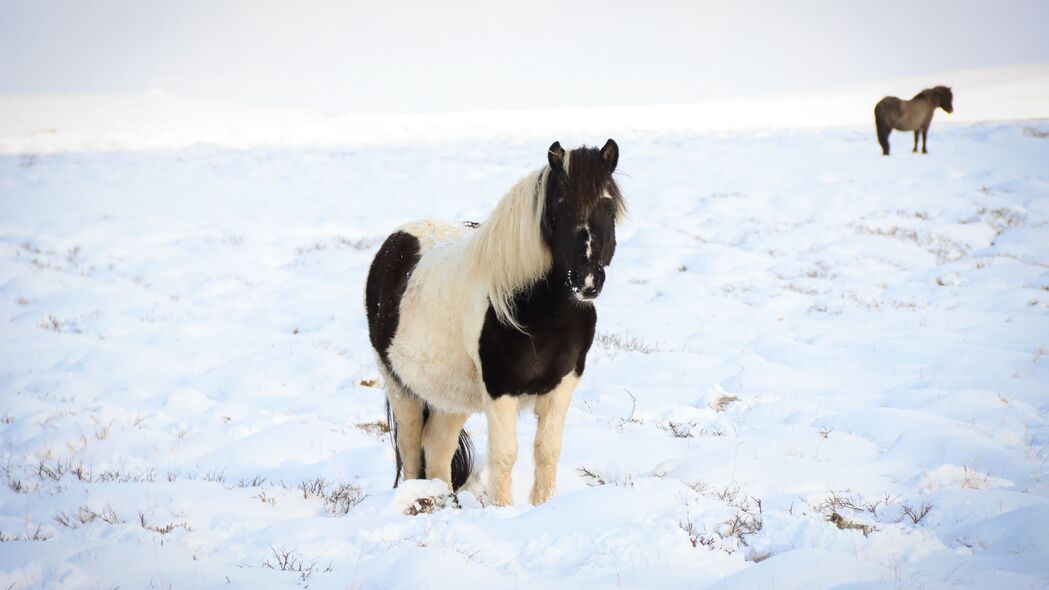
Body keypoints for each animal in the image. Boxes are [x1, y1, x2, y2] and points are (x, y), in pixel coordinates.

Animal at [365, 138, 621, 506]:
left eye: (608, 205)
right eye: (559, 206)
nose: (587, 281)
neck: (542, 309)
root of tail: (395, 243)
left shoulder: (563, 383)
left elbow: (547, 451)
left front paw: (542, 507)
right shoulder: (501, 387)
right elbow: (504, 455)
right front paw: (503, 510)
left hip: (450, 395)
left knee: (438, 448)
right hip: (401, 387)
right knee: (412, 450)